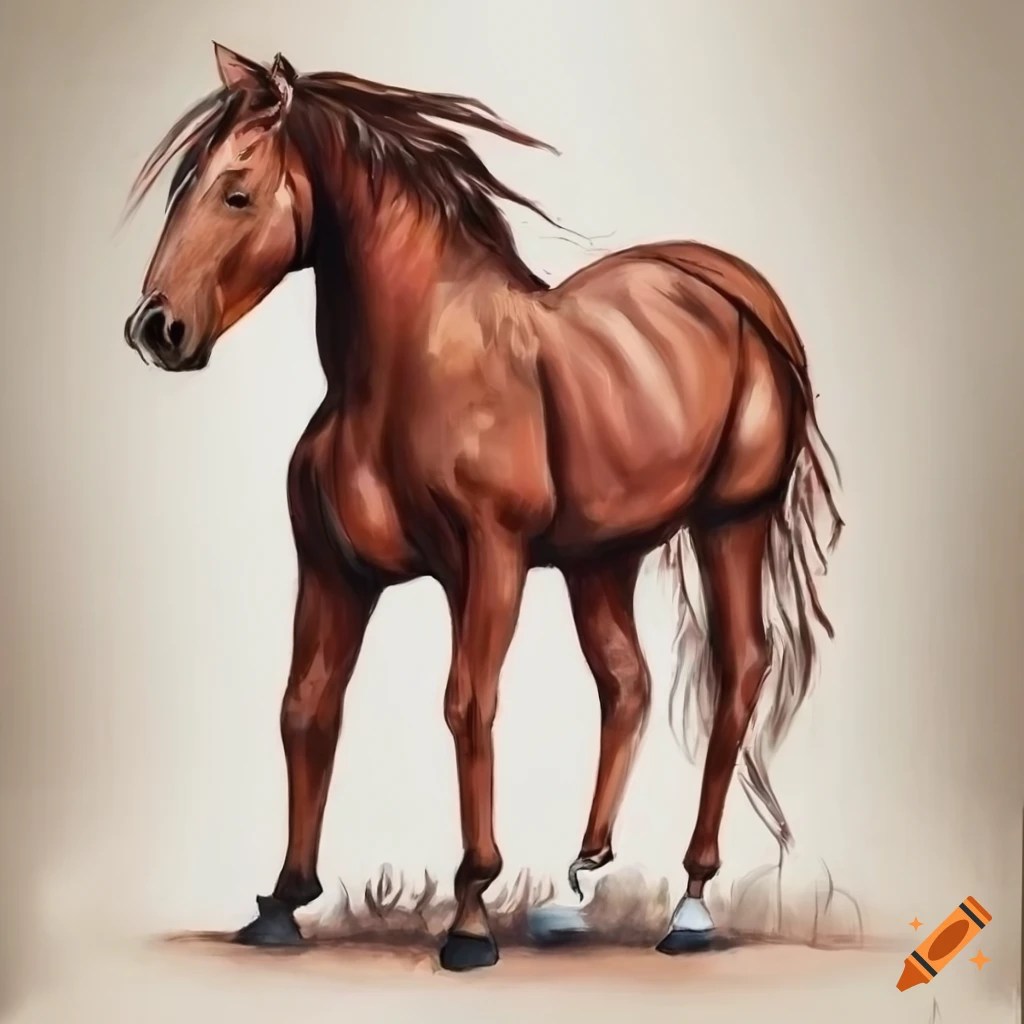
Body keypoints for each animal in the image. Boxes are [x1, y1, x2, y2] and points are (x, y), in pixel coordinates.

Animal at [123, 43, 842, 971]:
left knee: (738, 672)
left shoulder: (487, 563)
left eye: (235, 191)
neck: (399, 373)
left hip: (731, 525)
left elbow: (468, 706)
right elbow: (306, 709)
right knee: (627, 684)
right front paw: (282, 902)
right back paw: (583, 877)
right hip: (601, 558)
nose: (155, 328)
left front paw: (469, 916)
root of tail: (734, 288)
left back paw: (690, 903)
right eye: (185, 186)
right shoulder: (333, 571)